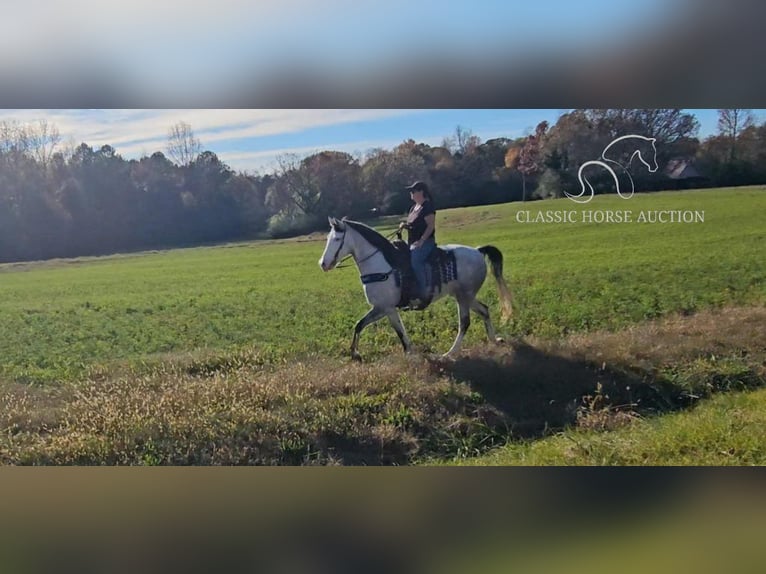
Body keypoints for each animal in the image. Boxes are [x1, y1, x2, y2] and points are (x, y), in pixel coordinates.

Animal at [318, 218, 516, 362]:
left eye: (337, 239)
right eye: (327, 238)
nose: (323, 264)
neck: (382, 265)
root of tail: (477, 251)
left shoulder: (386, 308)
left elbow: (398, 331)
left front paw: (409, 355)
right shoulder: (380, 308)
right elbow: (360, 324)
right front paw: (355, 354)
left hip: (463, 297)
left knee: (465, 323)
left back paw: (449, 354)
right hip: (465, 296)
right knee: (484, 310)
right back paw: (494, 340)